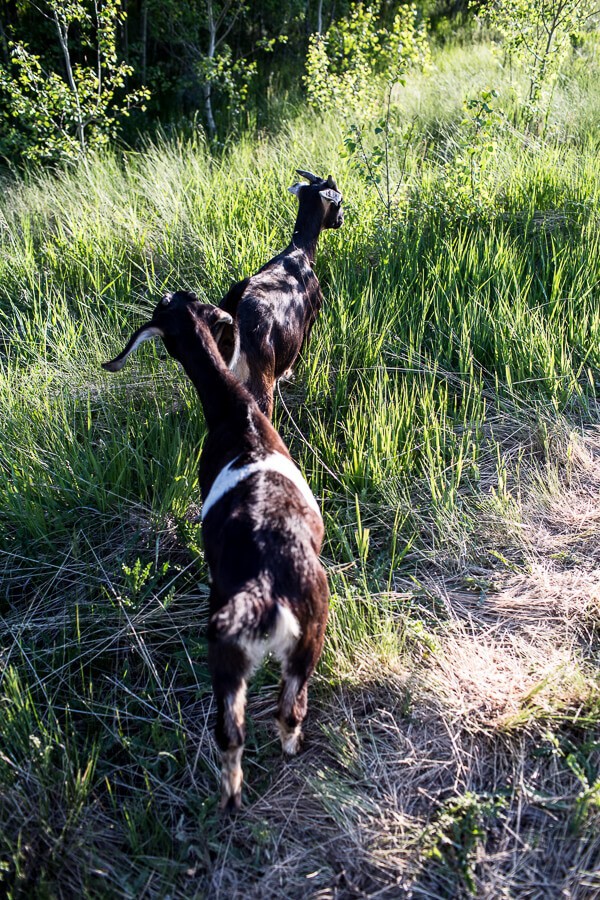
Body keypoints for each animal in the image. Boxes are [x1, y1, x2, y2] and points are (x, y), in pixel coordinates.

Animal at [102, 290, 329, 811]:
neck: (236, 414)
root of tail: (266, 589)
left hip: (232, 654)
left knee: (233, 733)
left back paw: (230, 801)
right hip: (303, 641)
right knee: (286, 713)